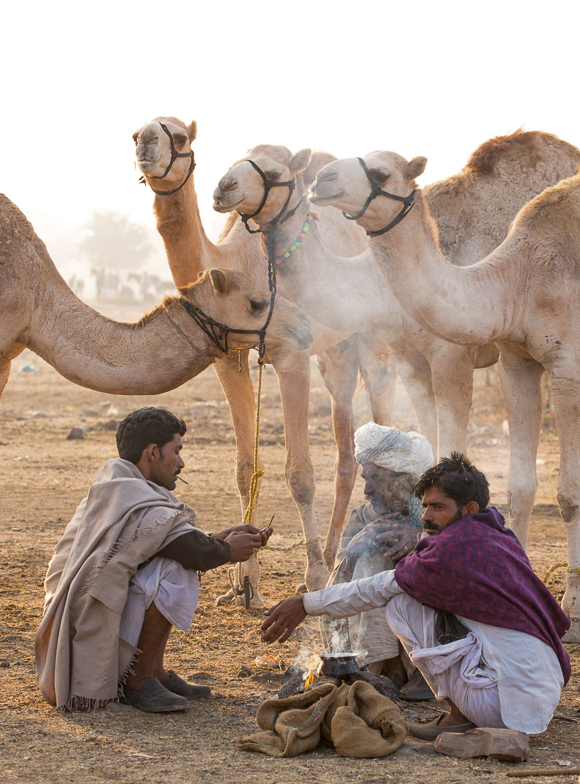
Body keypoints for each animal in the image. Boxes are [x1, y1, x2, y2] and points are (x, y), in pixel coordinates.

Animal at [131, 115, 396, 588]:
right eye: (135, 134)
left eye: (178, 135)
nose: (146, 141)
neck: (242, 263)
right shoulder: (227, 356)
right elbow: (242, 468)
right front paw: (244, 581)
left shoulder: (292, 352)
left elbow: (300, 475)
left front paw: (311, 575)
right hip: (336, 352)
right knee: (346, 451)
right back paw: (334, 556)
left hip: (370, 338)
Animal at [310, 149, 580, 644]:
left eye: (382, 172)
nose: (322, 179)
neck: (521, 280)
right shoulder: (517, 359)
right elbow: (520, 486)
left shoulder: (567, 366)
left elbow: (569, 494)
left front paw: (573, 608)